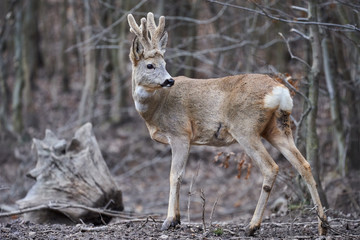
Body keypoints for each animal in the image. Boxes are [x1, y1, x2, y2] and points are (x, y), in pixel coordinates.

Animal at [126, 12, 326, 235]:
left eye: (164, 64)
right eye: (150, 65)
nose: (169, 80)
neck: (156, 108)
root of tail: (280, 92)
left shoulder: (180, 133)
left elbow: (174, 175)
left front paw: (170, 220)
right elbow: (179, 175)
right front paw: (176, 219)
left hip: (245, 128)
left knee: (270, 167)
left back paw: (252, 226)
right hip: (278, 128)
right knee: (304, 165)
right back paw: (323, 225)